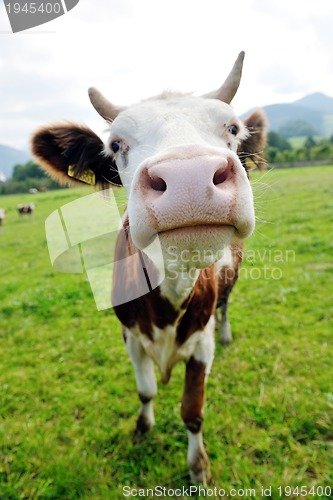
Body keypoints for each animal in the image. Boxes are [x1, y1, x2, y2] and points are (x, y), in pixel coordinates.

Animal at [32, 52, 266, 482]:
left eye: (232, 128)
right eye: (116, 143)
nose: (189, 178)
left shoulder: (201, 342)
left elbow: (192, 411)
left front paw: (198, 467)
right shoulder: (129, 334)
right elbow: (146, 390)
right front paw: (142, 428)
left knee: (226, 306)